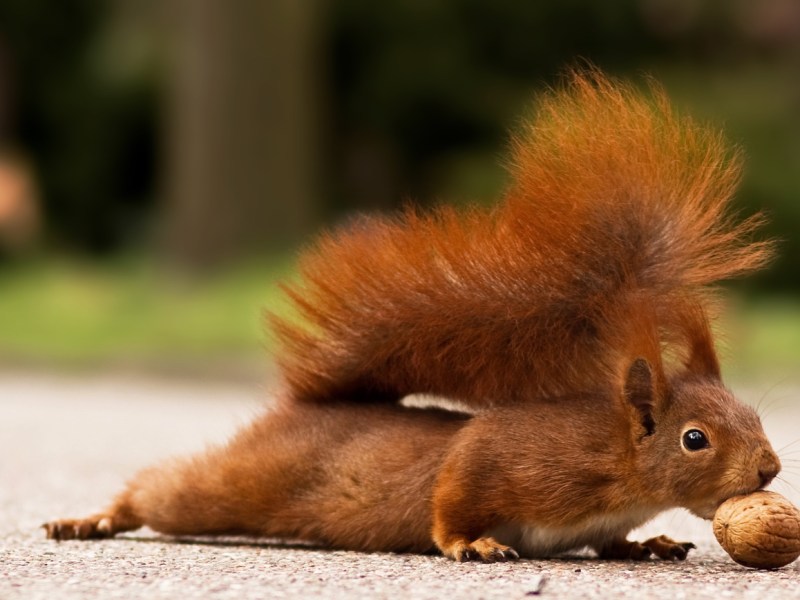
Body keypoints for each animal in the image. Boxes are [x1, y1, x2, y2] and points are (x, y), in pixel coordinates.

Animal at [43, 71, 780, 564]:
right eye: (694, 439)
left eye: (754, 415)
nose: (771, 469)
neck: (619, 467)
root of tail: (304, 408)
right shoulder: (506, 456)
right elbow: (453, 489)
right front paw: (470, 544)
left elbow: (612, 541)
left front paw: (646, 542)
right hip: (239, 485)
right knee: (163, 491)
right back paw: (94, 520)